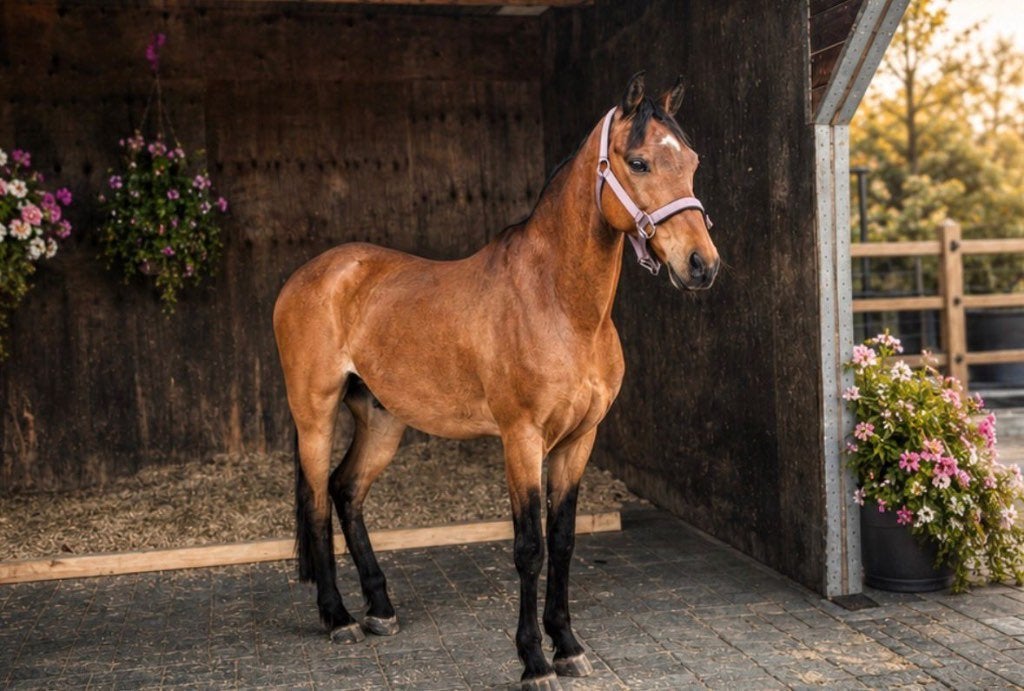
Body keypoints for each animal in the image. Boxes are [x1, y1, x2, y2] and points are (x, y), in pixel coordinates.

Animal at [273, 71, 720, 689]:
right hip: (314, 414)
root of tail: (309, 275)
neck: (560, 303)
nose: (702, 264)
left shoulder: (579, 441)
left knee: (346, 490)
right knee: (317, 503)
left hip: (383, 421)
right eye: (639, 162)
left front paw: (568, 645)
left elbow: (564, 541)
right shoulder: (521, 439)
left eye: (692, 161)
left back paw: (380, 609)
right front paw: (534, 660)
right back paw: (338, 618)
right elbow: (529, 547)